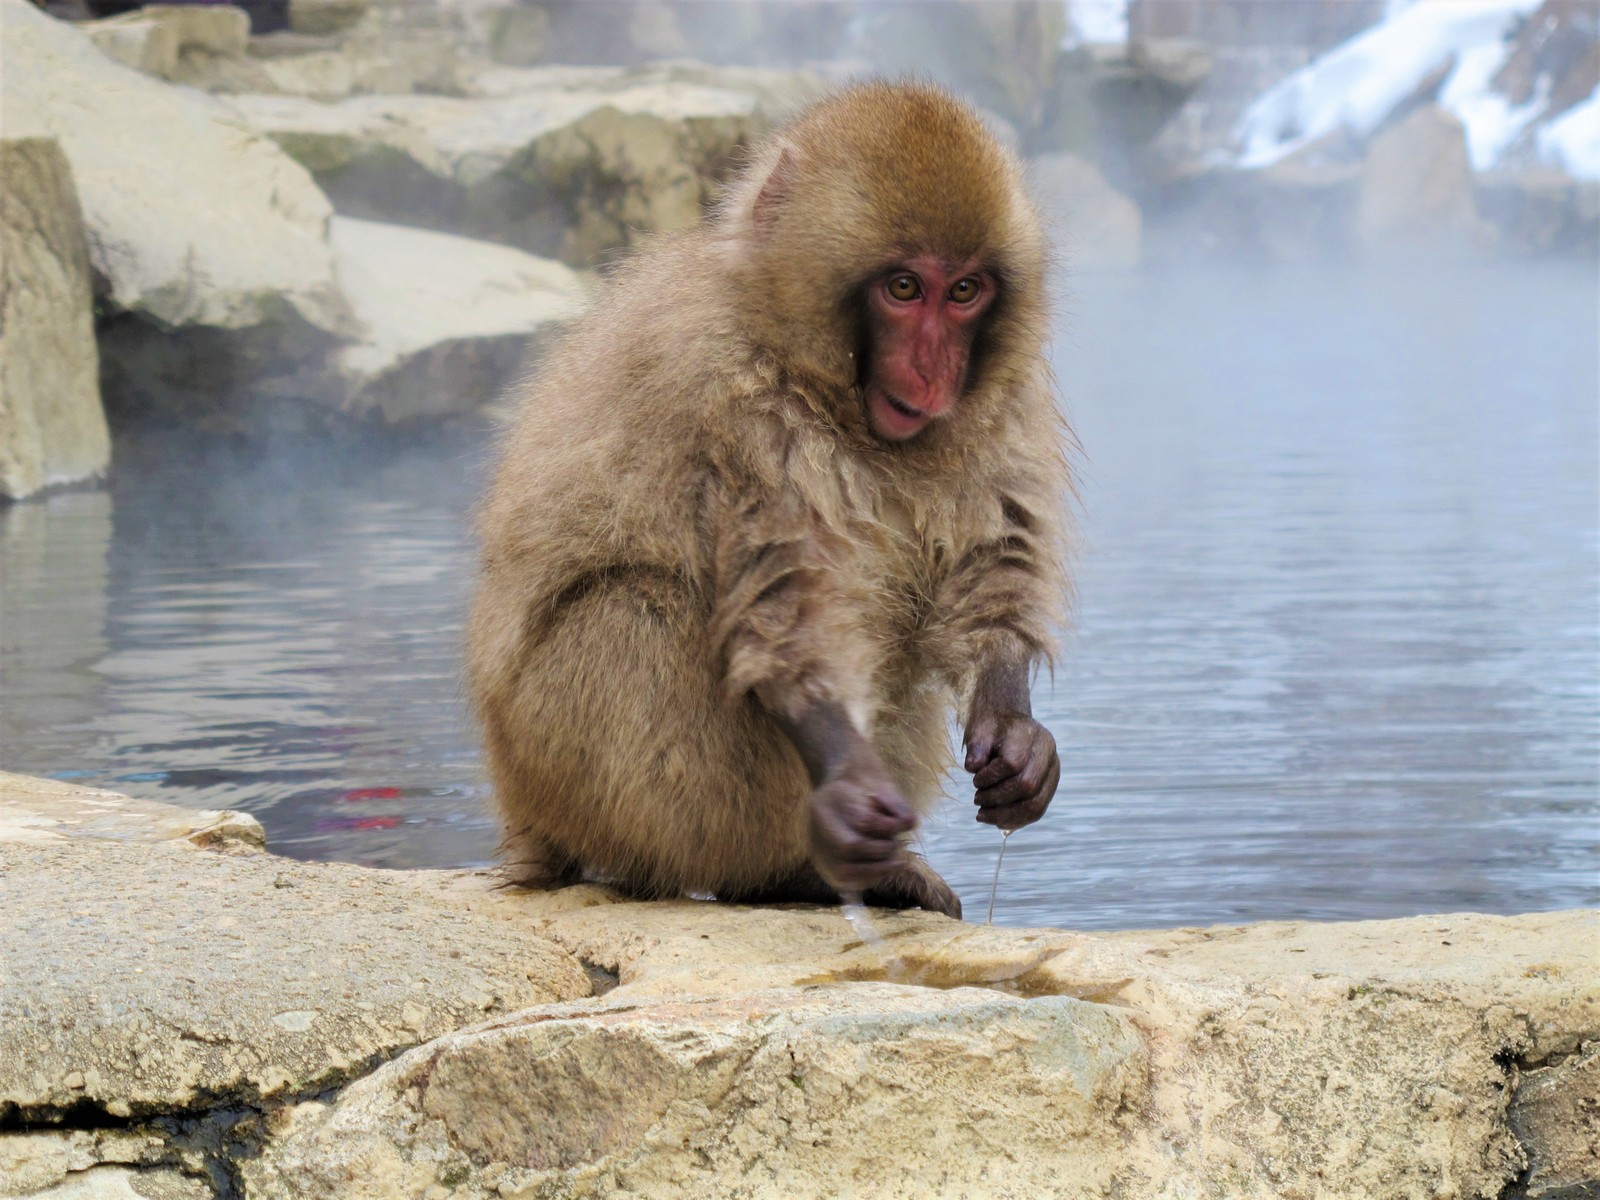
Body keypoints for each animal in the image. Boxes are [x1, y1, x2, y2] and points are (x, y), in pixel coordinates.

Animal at [473, 82, 1075, 921]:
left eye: (964, 292)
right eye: (903, 288)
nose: (934, 371)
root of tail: (522, 815)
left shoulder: (1002, 391)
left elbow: (994, 554)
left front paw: (1016, 733)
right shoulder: (726, 392)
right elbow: (784, 600)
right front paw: (850, 789)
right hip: (555, 758)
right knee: (635, 612)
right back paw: (783, 874)